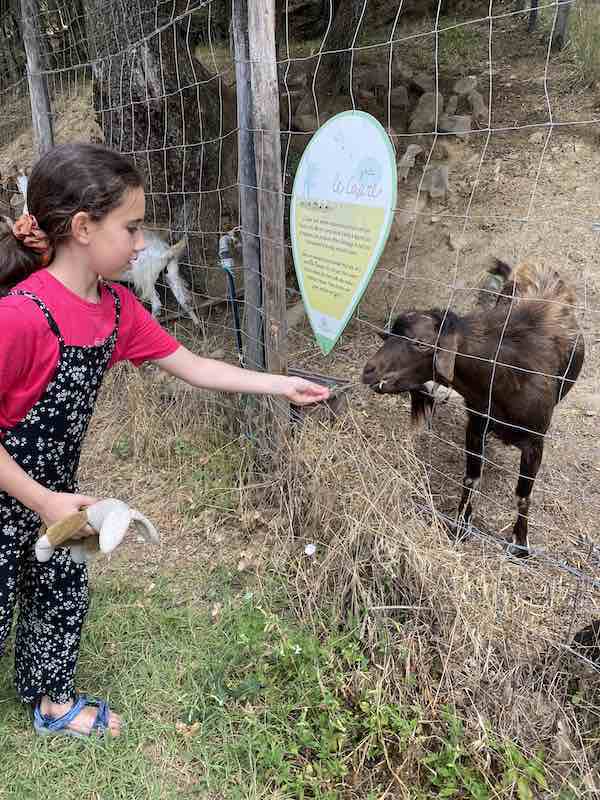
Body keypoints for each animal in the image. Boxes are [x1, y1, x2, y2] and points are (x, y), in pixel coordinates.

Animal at [360, 262, 584, 556]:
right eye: (388, 335)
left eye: (421, 343)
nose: (368, 371)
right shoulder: (476, 425)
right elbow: (471, 478)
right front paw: (460, 527)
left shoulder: (535, 442)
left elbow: (523, 494)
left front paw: (520, 545)